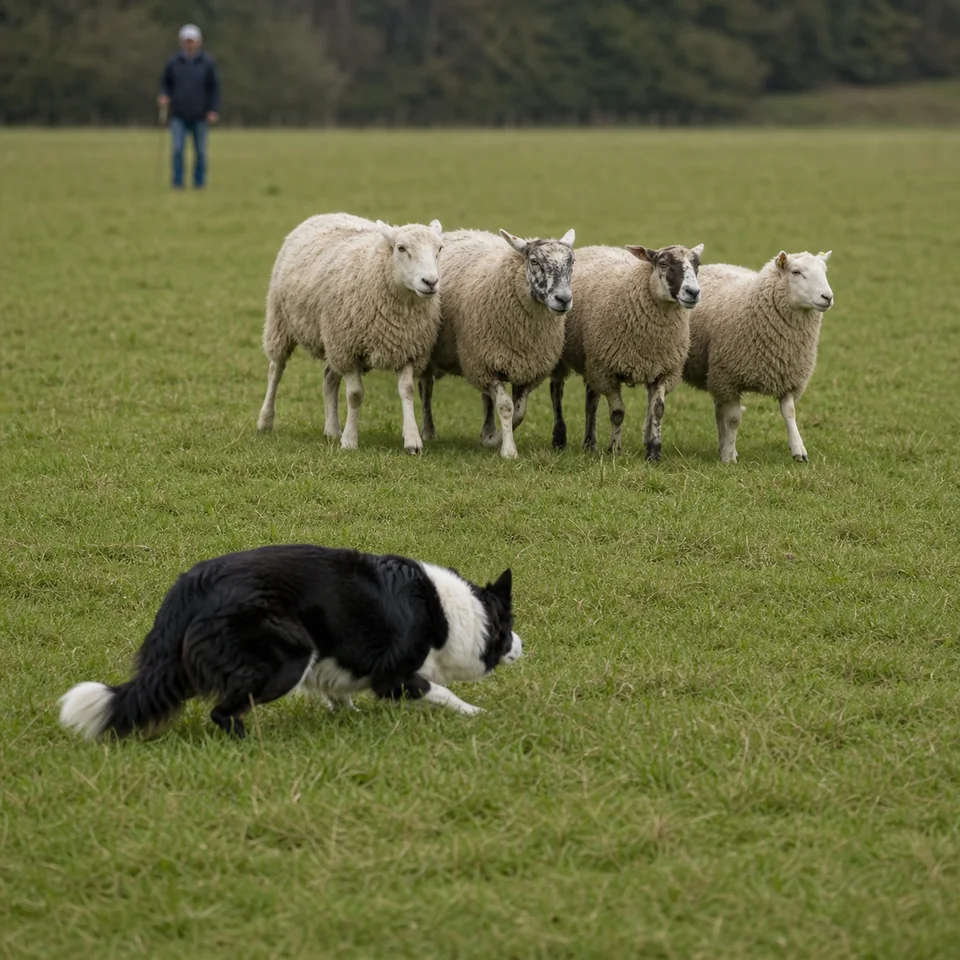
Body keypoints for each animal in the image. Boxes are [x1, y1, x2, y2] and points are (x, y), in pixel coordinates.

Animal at [257, 213, 444, 455]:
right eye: (401, 248)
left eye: (440, 248)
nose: (430, 282)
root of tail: (326, 214)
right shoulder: (349, 350)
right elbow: (355, 396)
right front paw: (349, 441)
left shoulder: (407, 348)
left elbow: (407, 390)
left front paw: (412, 440)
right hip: (282, 322)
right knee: (276, 370)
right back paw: (265, 421)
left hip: (332, 340)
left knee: (329, 377)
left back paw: (332, 429)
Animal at [418, 227, 576, 459]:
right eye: (534, 261)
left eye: (572, 262)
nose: (563, 299)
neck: (524, 335)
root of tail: (460, 231)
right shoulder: (486, 366)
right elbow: (505, 407)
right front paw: (508, 450)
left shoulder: (526, 370)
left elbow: (519, 412)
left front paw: (494, 439)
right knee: (426, 390)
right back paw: (428, 432)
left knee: (486, 399)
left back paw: (487, 431)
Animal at [550, 242, 704, 461]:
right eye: (663, 264)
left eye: (697, 264)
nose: (693, 292)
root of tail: (594, 246)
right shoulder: (607, 371)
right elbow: (617, 413)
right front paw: (614, 450)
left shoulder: (664, 370)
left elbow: (658, 410)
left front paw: (654, 452)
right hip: (568, 357)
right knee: (557, 391)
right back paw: (559, 439)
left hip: (592, 362)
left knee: (591, 400)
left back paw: (589, 444)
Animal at [682, 250, 834, 463]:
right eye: (796, 272)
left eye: (824, 271)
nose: (827, 297)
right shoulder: (729, 377)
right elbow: (734, 419)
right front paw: (729, 457)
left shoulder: (787, 374)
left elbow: (790, 413)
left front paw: (798, 449)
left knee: (719, 410)